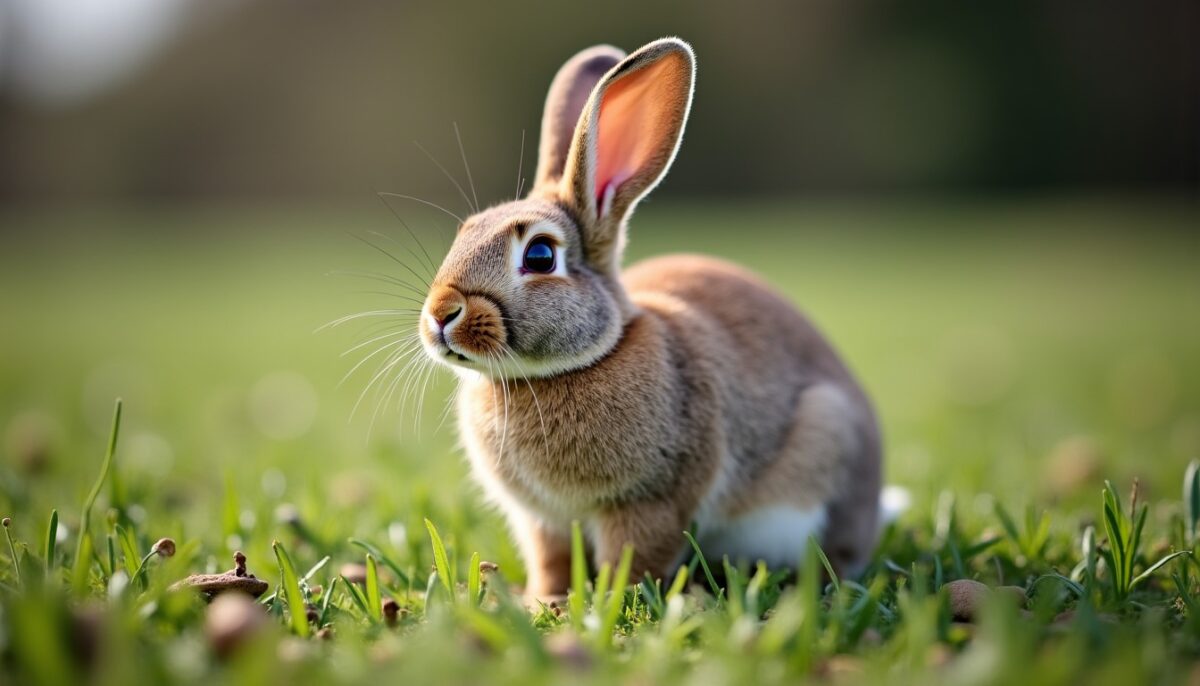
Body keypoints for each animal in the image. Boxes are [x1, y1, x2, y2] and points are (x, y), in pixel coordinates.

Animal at [417, 37, 881, 598]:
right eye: (465, 231)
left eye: (540, 256)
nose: (441, 315)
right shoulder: (543, 521)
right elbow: (551, 561)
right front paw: (544, 601)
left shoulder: (650, 502)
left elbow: (633, 557)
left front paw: (612, 599)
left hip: (826, 437)